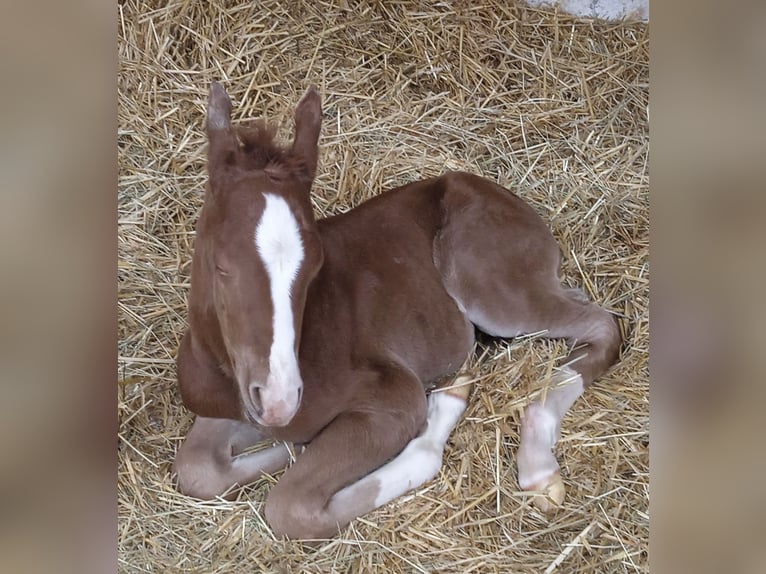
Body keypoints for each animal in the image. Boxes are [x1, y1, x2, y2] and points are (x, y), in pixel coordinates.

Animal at [174, 83, 624, 544]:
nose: (280, 400)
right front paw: (292, 444)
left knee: (601, 325)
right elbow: (196, 468)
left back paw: (536, 464)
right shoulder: (236, 404)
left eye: (316, 264)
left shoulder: (395, 398)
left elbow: (291, 507)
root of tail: (487, 187)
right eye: (221, 265)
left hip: (493, 291)